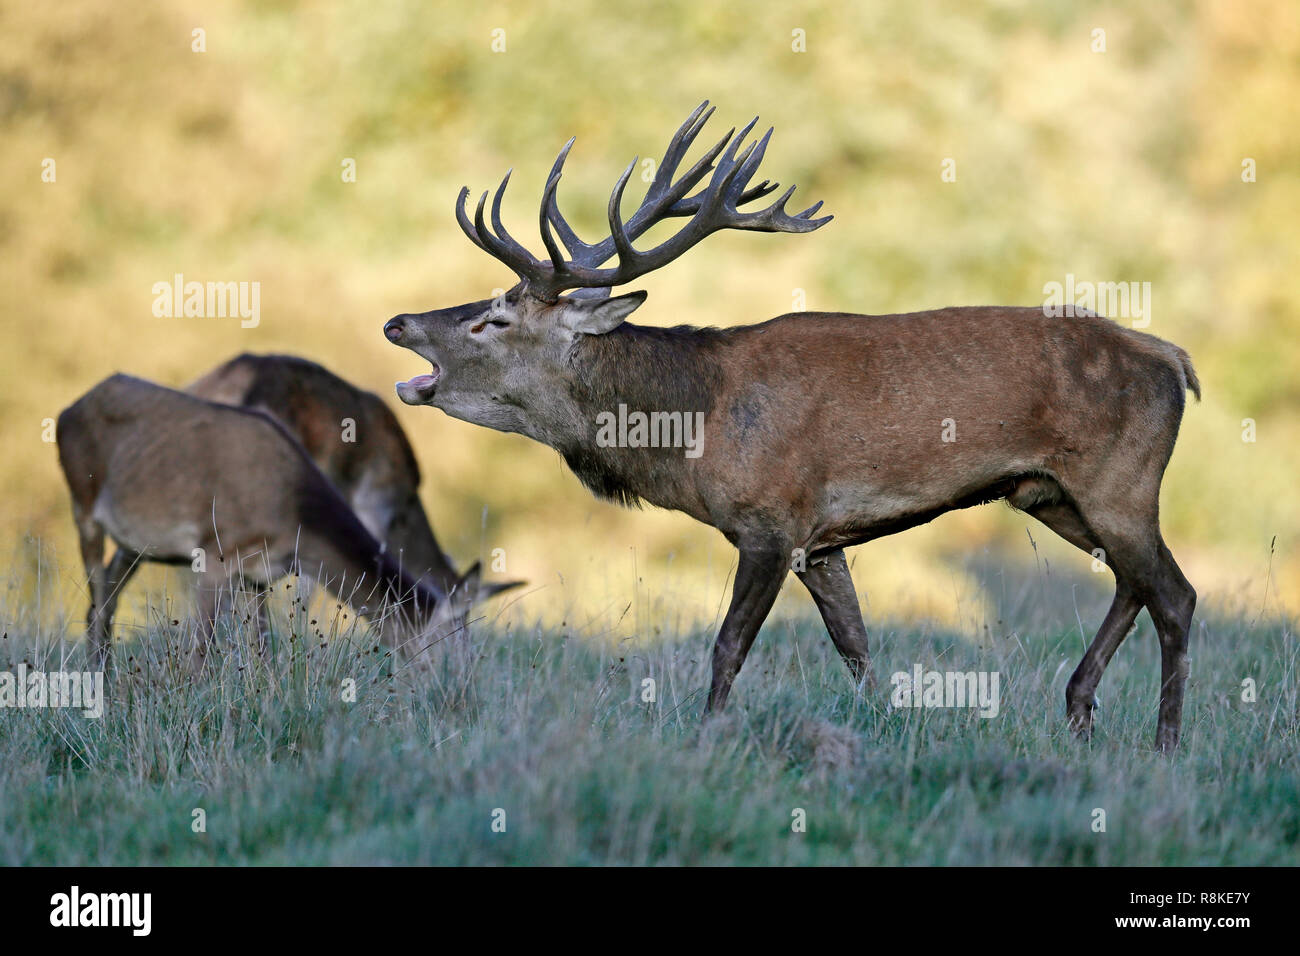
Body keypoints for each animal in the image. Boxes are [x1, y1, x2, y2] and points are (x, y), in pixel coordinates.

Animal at [382, 100, 1196, 749]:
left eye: (495, 317)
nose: (397, 321)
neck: (696, 427)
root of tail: (1175, 361)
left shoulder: (771, 518)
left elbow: (727, 647)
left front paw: (708, 737)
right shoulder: (822, 540)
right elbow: (856, 647)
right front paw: (884, 727)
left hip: (1120, 480)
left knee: (1175, 594)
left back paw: (1163, 743)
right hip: (1049, 493)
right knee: (1136, 582)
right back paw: (1080, 708)